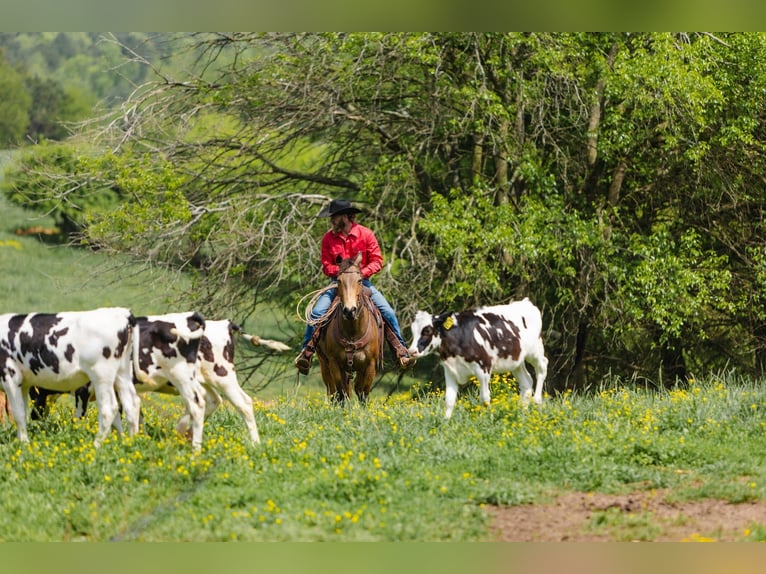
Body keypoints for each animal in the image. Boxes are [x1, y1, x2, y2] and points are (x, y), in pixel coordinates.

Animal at [315, 252, 384, 404]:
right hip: (324, 364)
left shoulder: (370, 365)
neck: (353, 332)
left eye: (359, 280)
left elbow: (363, 393)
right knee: (333, 392)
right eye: (339, 280)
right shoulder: (335, 363)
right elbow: (341, 394)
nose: (349, 311)